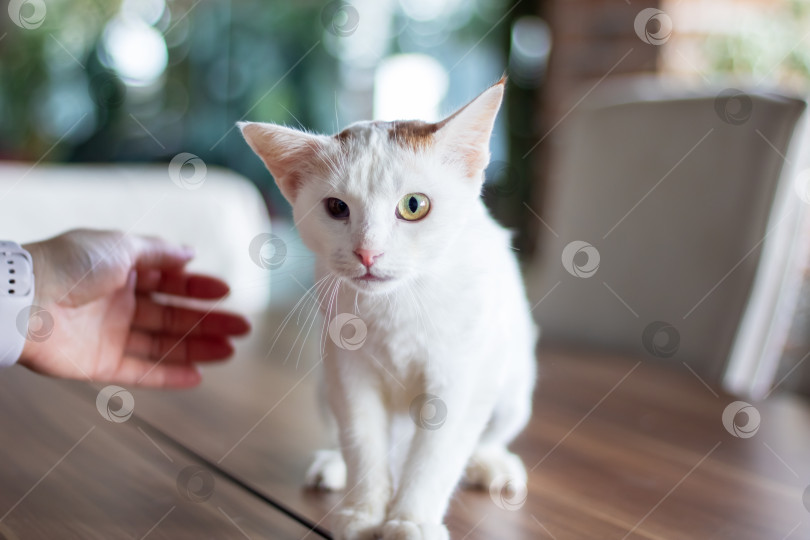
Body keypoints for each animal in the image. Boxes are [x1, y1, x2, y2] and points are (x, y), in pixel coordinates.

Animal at [240, 79, 536, 540]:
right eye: (336, 208)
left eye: (414, 205)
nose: (368, 253)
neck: (396, 305)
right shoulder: (348, 373)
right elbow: (362, 441)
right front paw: (364, 512)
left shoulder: (460, 377)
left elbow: (436, 455)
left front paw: (411, 520)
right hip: (326, 386)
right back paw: (334, 464)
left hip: (511, 389)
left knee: (482, 436)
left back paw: (489, 464)